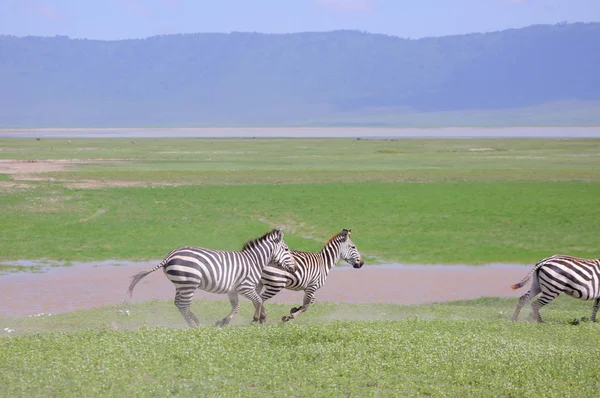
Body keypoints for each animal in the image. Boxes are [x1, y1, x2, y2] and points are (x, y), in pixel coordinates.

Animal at [127, 229, 296, 328]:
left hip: (181, 285)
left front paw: (223, 322)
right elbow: (258, 301)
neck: (253, 261)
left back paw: (194, 321)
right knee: (183, 305)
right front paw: (258, 319)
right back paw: (194, 325)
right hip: (189, 284)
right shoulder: (245, 287)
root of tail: (170, 255)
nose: (294, 268)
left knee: (178, 303)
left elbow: (236, 307)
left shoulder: (232, 290)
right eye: (286, 249)